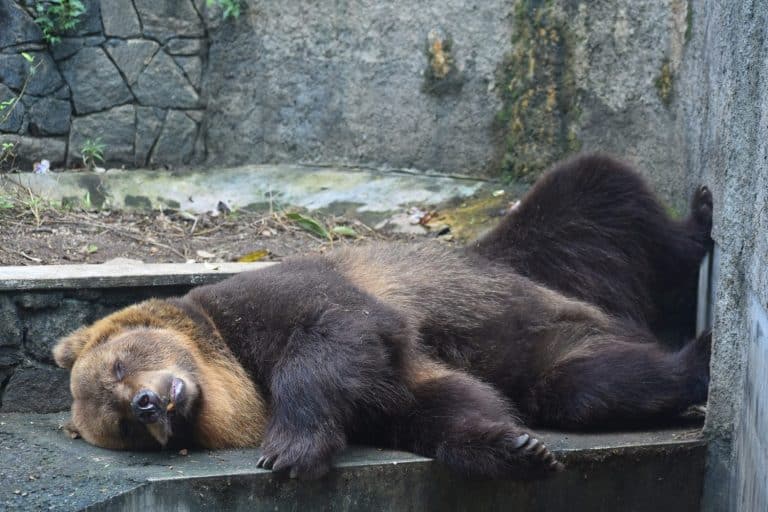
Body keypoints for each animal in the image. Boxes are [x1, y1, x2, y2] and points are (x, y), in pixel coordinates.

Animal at [52, 154, 713, 480]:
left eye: (117, 366)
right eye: (121, 425)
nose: (149, 405)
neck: (238, 376)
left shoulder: (278, 303)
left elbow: (337, 329)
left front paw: (287, 451)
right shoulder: (391, 391)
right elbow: (436, 409)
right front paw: (517, 448)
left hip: (550, 261)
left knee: (602, 192)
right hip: (556, 335)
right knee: (583, 382)